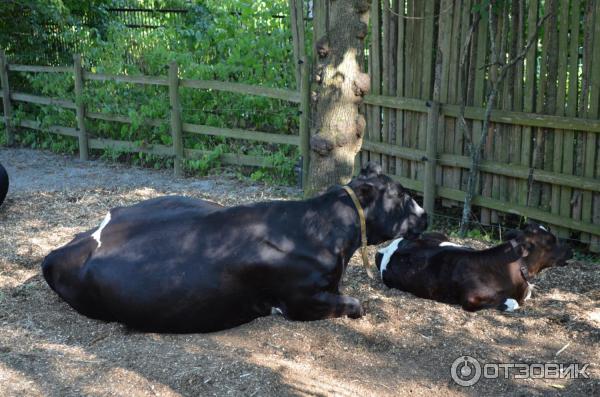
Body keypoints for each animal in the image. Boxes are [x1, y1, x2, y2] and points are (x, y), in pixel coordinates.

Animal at [376, 221, 572, 310]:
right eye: (551, 241)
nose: (570, 250)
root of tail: (387, 249)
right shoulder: (470, 299)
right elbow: (512, 302)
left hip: (442, 236)